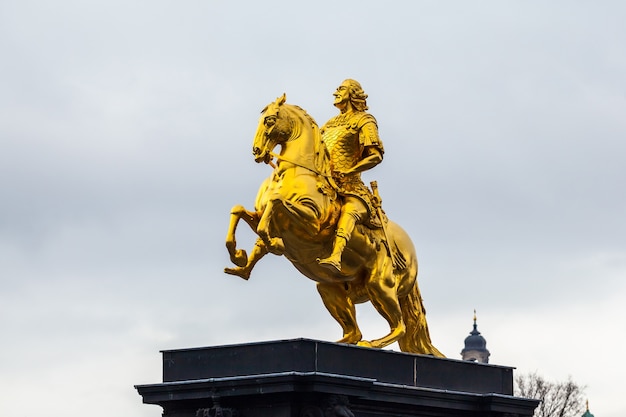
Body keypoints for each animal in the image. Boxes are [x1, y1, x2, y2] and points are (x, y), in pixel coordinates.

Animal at [222, 94, 442, 354]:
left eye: (270, 120)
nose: (257, 151)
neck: (295, 172)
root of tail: (411, 251)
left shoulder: (313, 224)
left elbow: (275, 204)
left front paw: (273, 243)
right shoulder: (259, 214)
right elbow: (240, 211)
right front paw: (239, 257)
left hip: (380, 284)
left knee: (399, 327)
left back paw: (371, 343)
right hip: (329, 288)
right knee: (354, 332)